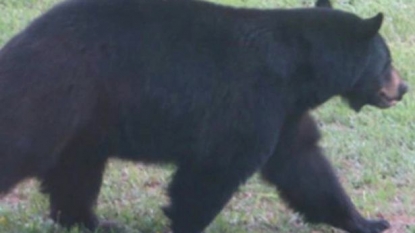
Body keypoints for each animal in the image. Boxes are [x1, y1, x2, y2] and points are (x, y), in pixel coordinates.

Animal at [0, 0, 408, 232]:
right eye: (387, 61)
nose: (403, 88)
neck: (297, 69)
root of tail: (21, 39)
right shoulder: (252, 98)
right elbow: (216, 168)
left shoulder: (284, 113)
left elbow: (303, 164)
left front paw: (367, 221)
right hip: (55, 92)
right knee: (23, 144)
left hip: (87, 119)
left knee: (77, 170)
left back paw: (93, 222)